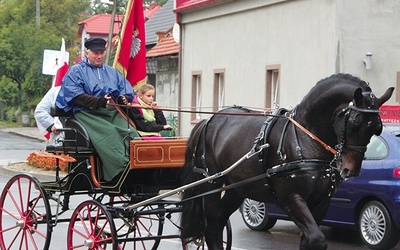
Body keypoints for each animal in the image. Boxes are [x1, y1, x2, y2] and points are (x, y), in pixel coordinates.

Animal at [180, 73, 394, 249]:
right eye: (354, 123)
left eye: (377, 128)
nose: (351, 169)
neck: (306, 137)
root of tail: (208, 121)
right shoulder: (291, 199)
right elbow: (317, 239)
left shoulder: (321, 202)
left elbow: (309, 241)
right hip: (211, 184)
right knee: (212, 228)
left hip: (237, 189)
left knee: (218, 224)